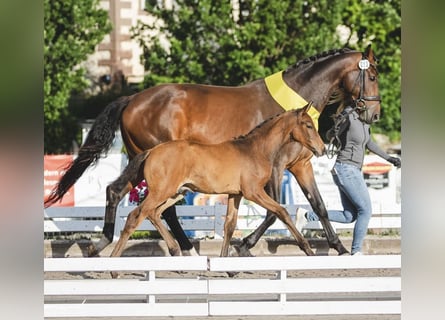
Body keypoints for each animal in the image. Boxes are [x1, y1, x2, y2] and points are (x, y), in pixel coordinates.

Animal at [107, 105, 322, 264]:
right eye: (308, 125)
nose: (321, 149)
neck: (255, 150)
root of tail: (151, 151)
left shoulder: (236, 194)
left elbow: (229, 225)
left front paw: (225, 261)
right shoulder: (253, 192)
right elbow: (282, 211)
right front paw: (308, 250)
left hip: (176, 193)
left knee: (154, 213)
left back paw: (175, 249)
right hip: (162, 192)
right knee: (136, 216)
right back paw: (113, 265)